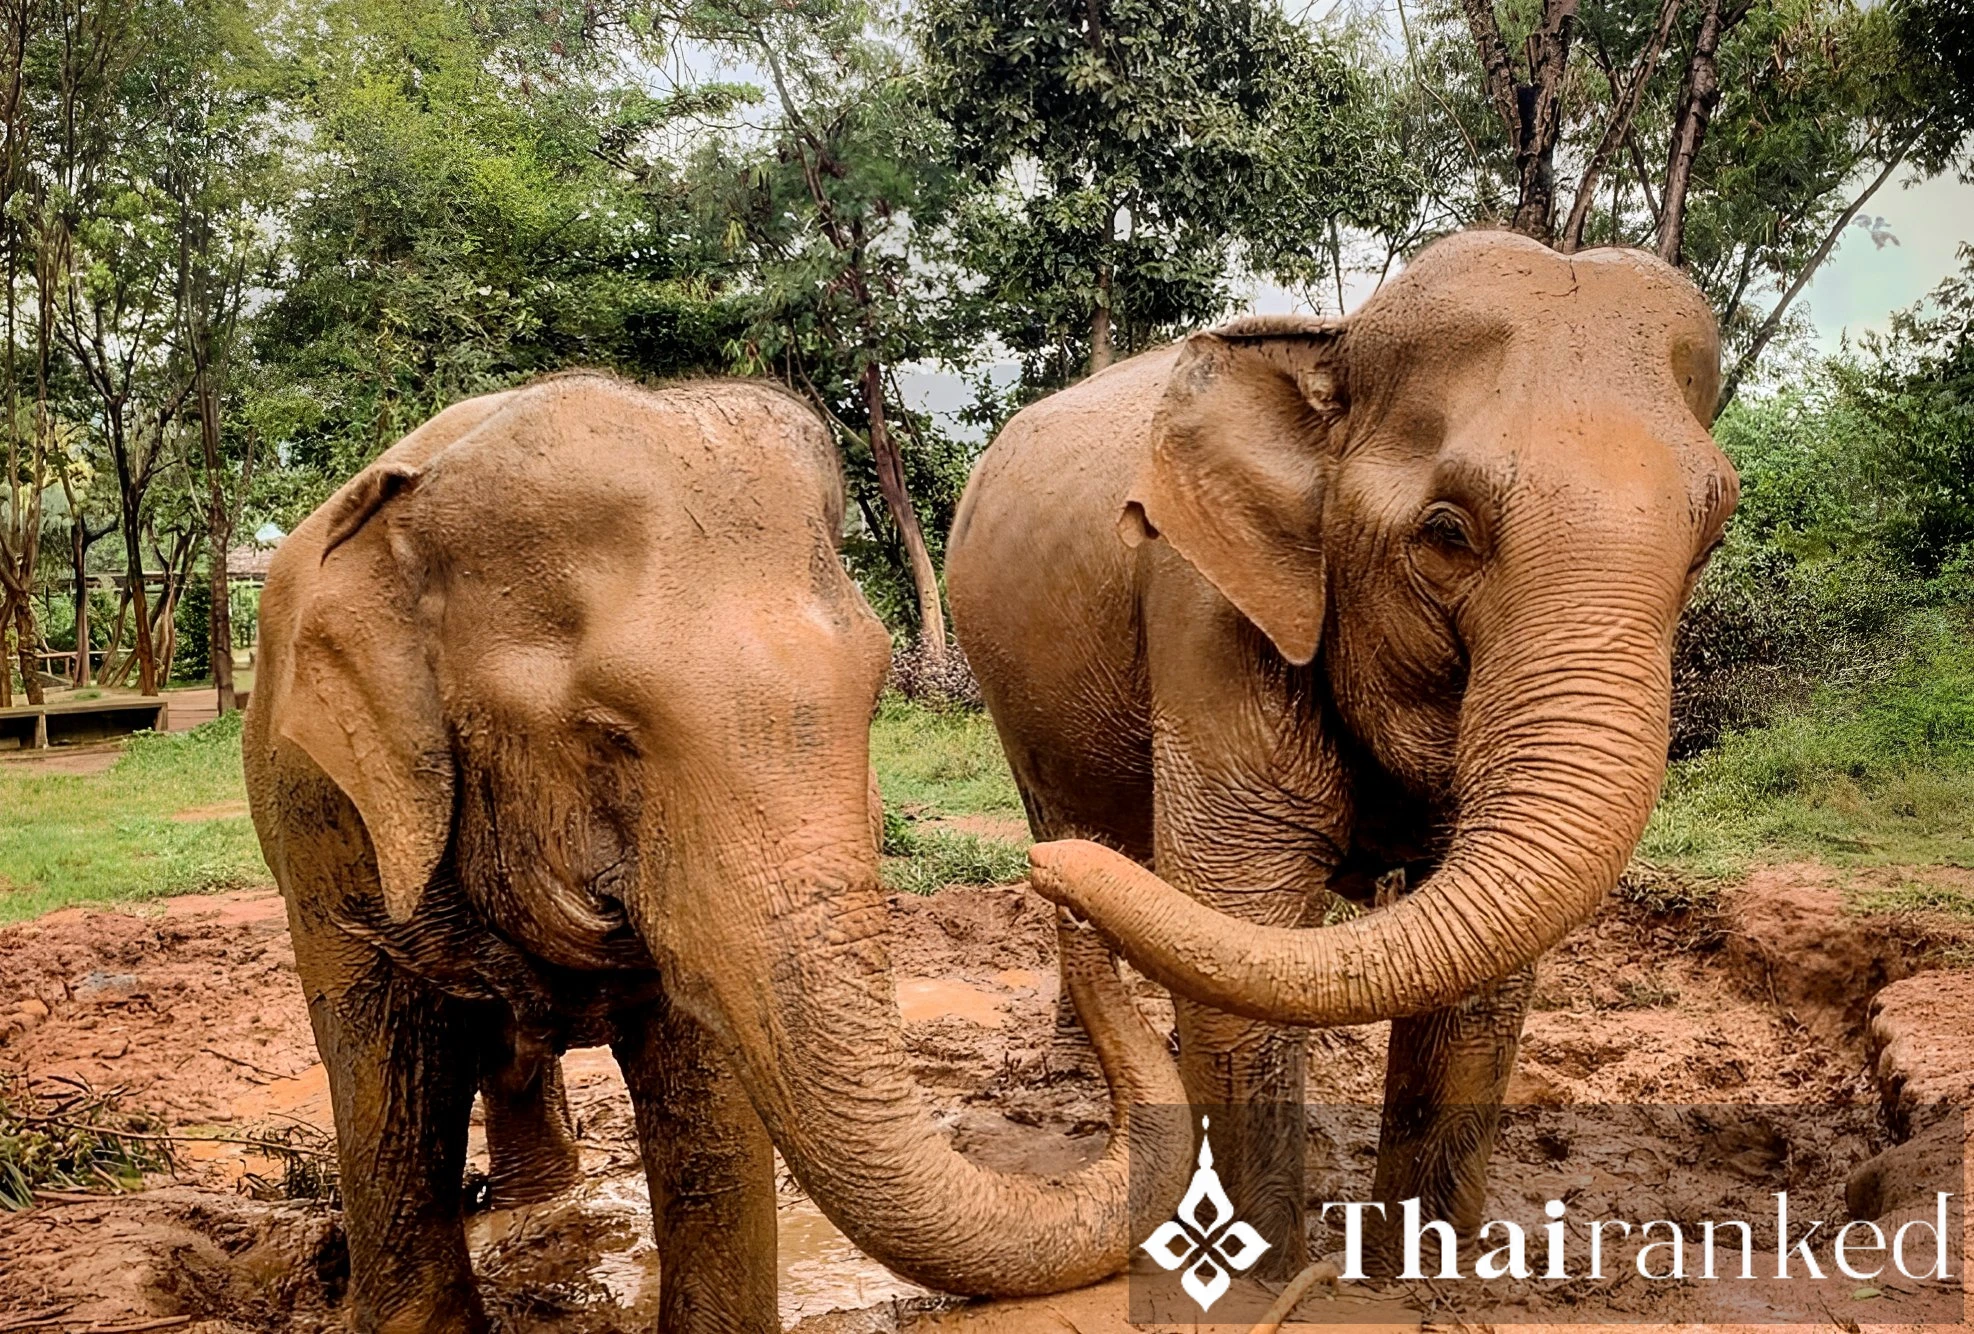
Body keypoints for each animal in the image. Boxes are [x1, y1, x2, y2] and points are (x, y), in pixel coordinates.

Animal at [243, 371, 1188, 1333]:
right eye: (608, 734)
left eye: (875, 696)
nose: (1059, 875)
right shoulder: (327, 812)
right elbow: (386, 1075)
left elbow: (709, 1095)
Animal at [946, 230, 1738, 1271]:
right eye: (1445, 533)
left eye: (1710, 537)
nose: (1049, 876)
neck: (1337, 342)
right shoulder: (1207, 603)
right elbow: (1241, 898)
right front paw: (1257, 1272)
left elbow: (1482, 982)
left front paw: (1421, 1268)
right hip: (1009, 687)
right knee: (1079, 818)